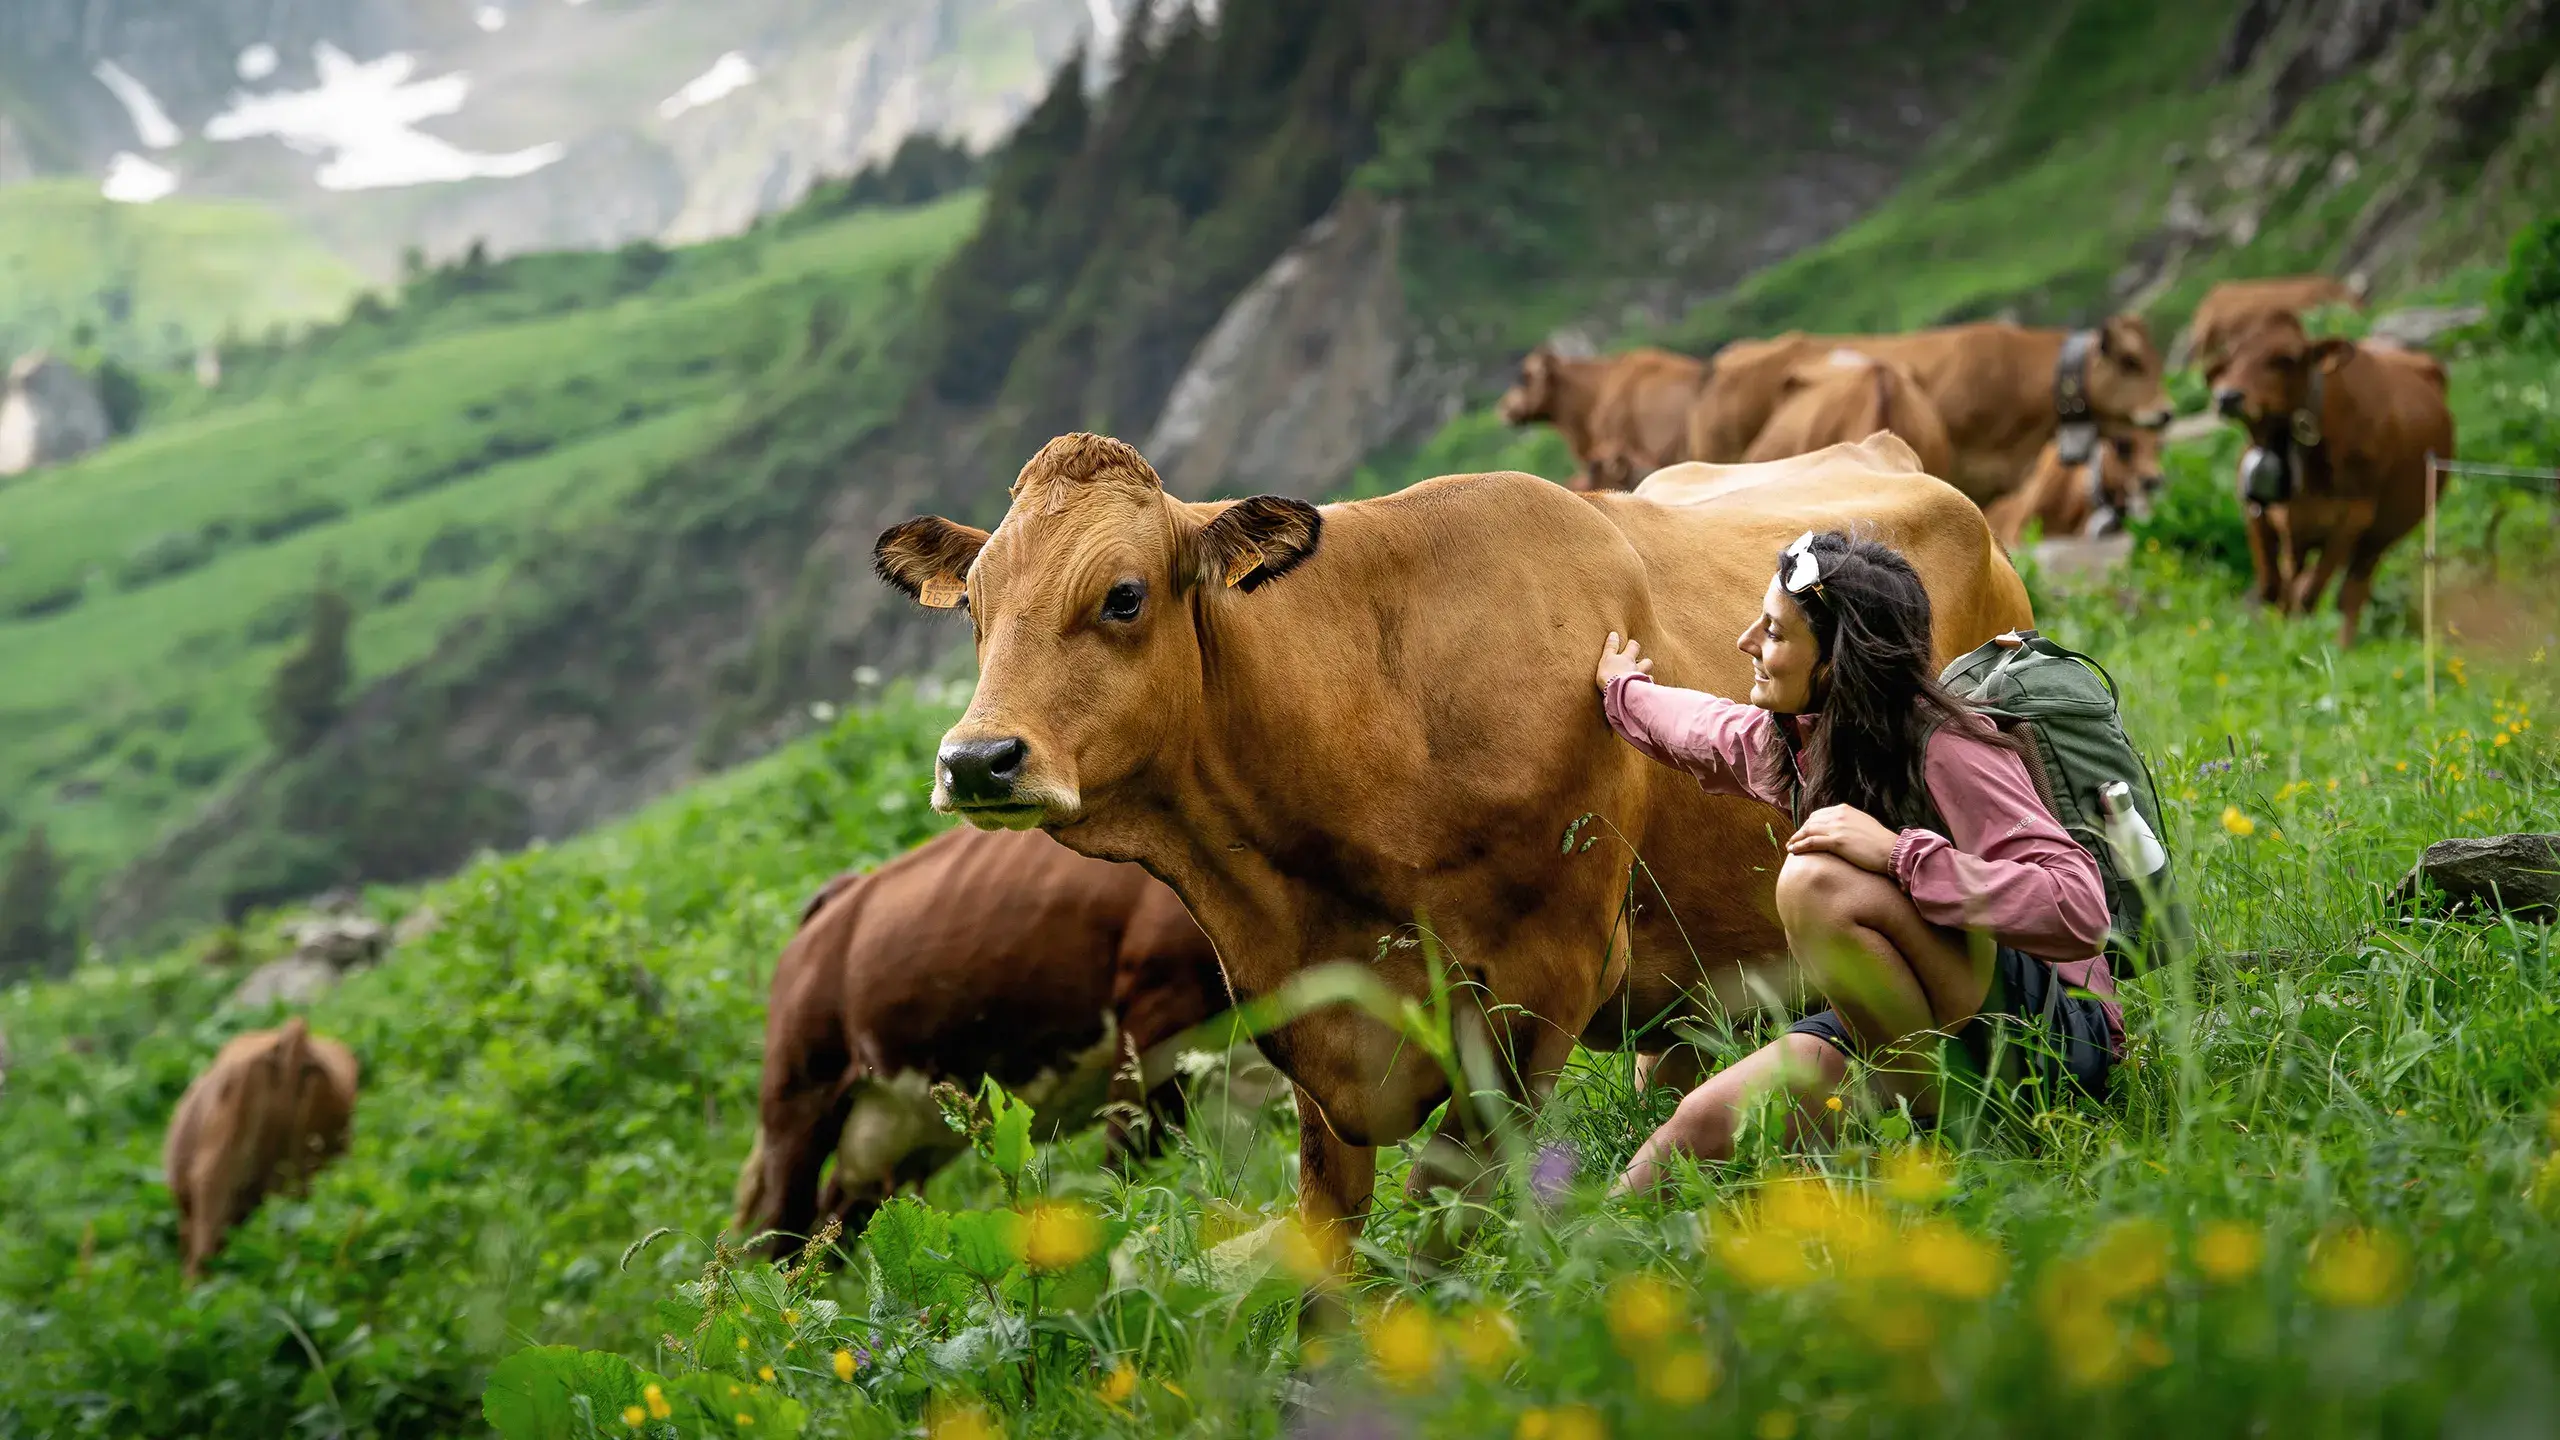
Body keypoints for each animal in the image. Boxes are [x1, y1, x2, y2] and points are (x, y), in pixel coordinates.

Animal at [732, 824, 1227, 1258]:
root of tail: (840, 894)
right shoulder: (1159, 1013)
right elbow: (1128, 1168)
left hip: (890, 1130)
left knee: (838, 1223)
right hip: (797, 1102)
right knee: (783, 1230)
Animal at [872, 431, 2033, 1278]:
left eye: (1122, 595)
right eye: (975, 607)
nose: (977, 759)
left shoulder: (1538, 985)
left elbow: (1446, 1210)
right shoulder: (1313, 1025)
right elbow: (1331, 1234)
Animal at [2213, 317, 2454, 646]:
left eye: (2285, 359)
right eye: (2232, 355)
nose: (2227, 397)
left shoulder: (2353, 517)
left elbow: (2307, 593)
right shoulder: (2261, 511)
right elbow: (2273, 587)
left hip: (2378, 539)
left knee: (2350, 592)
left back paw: (2343, 647)